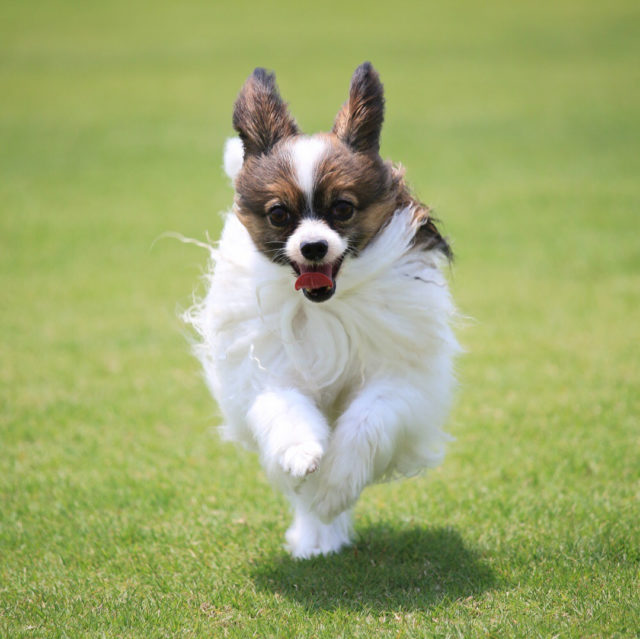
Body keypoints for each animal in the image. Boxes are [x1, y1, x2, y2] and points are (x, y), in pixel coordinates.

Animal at [185, 62, 460, 556]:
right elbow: (286, 410)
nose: (313, 246)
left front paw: (334, 488)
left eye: (343, 208)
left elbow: (367, 421)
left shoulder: (399, 380)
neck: (325, 308)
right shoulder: (269, 370)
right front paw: (302, 458)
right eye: (279, 214)